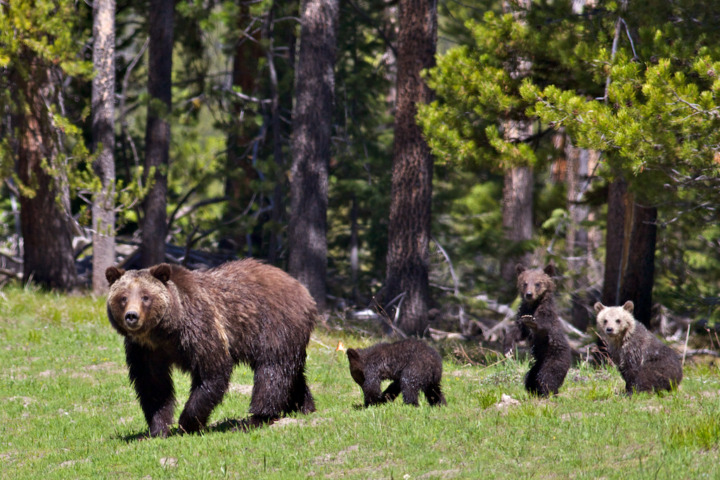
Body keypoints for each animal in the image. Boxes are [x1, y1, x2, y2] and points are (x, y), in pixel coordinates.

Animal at [105, 258, 317, 437]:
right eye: (123, 297)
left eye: (145, 297)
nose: (132, 316)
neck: (163, 333)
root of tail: (302, 289)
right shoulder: (144, 350)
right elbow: (153, 385)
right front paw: (157, 429)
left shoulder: (199, 329)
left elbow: (212, 372)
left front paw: (187, 423)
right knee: (290, 372)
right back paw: (303, 406)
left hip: (274, 325)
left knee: (271, 371)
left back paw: (255, 418)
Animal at [515, 264, 572, 397]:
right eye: (525, 283)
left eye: (538, 283)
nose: (529, 294)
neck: (533, 306)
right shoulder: (522, 311)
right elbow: (520, 330)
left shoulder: (546, 314)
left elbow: (542, 328)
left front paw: (530, 321)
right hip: (537, 365)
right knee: (530, 378)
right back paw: (533, 391)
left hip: (556, 359)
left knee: (547, 377)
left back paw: (549, 392)